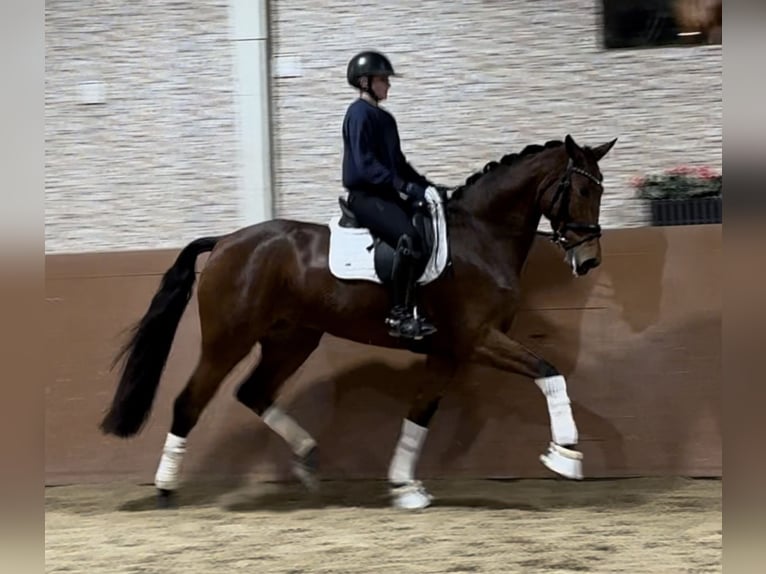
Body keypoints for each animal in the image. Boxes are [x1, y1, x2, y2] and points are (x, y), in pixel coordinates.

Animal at [100, 135, 616, 512]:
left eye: (602, 188)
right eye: (582, 190)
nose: (589, 260)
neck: (481, 237)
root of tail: (227, 240)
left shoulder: (448, 351)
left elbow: (420, 413)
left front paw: (405, 487)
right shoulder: (478, 339)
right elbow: (550, 372)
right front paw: (565, 456)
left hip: (292, 339)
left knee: (254, 392)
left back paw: (307, 456)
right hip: (228, 339)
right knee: (189, 402)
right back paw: (166, 488)